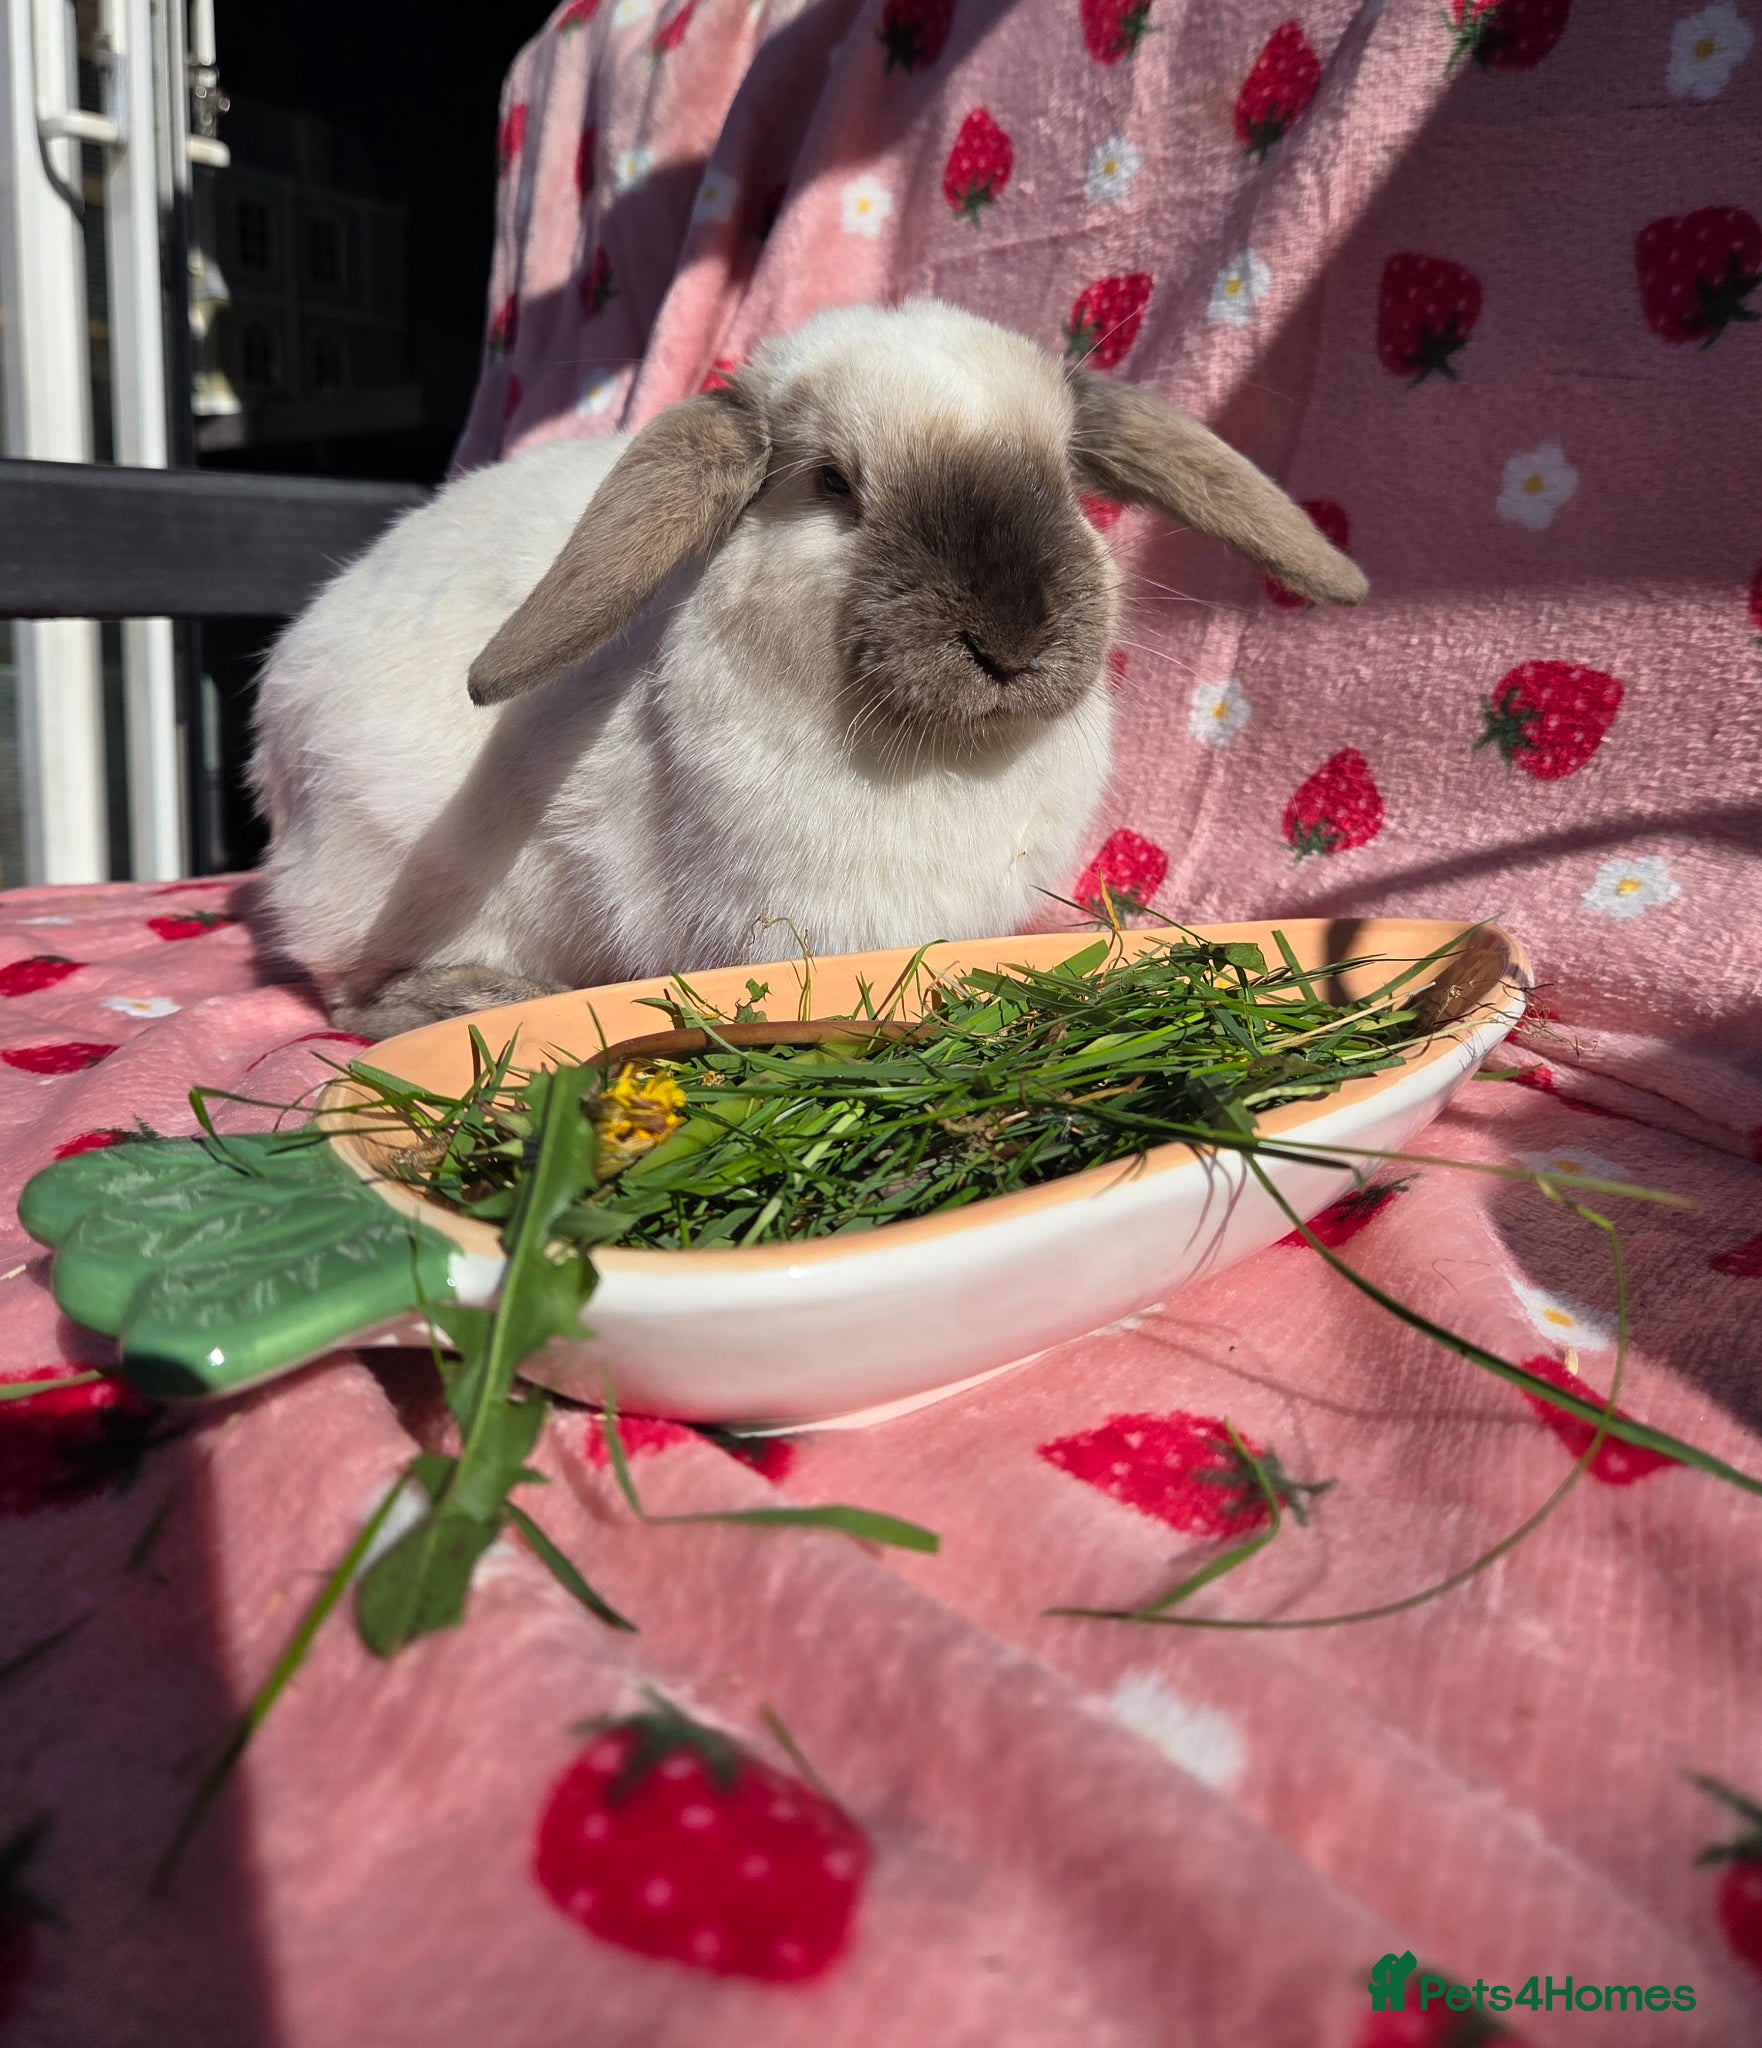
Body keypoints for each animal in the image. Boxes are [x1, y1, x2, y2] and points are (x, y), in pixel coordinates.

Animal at [249, 299, 1367, 1040]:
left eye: (1059, 476)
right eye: (832, 484)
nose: (1011, 643)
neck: (942, 759)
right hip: (389, 869)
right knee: (346, 987)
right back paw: (467, 1000)